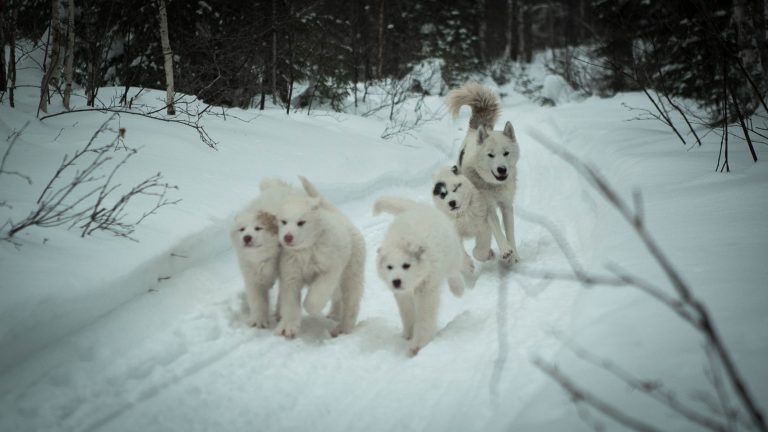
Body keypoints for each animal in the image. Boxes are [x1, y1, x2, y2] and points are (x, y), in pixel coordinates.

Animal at [274, 177, 364, 340]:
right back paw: (334, 315)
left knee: (351, 300)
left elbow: (314, 299)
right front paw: (288, 327)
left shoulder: (330, 270)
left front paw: (313, 310)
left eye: (301, 222)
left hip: (352, 271)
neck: (306, 249)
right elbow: (290, 302)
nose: (287, 237)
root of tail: (341, 216)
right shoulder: (290, 274)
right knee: (338, 296)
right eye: (283, 221)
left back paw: (344, 327)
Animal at [374, 196, 464, 354]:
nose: (396, 281)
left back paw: (458, 289)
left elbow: (424, 318)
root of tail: (416, 208)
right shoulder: (402, 296)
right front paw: (408, 334)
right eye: (389, 267)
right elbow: (407, 313)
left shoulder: (426, 290)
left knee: (454, 272)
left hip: (452, 254)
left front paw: (418, 344)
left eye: (406, 265)